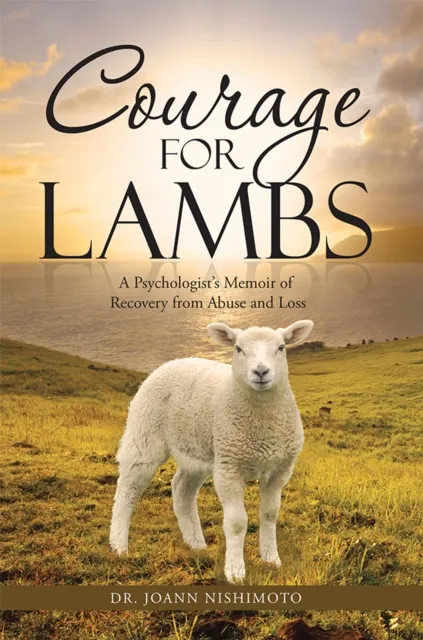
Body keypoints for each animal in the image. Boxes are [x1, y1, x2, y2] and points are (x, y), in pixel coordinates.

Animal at [109, 319, 314, 582]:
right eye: (238, 348)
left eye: (281, 347)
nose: (260, 372)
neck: (262, 426)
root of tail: (175, 361)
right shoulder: (229, 467)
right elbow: (236, 522)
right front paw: (235, 571)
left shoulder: (279, 469)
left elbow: (270, 514)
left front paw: (271, 559)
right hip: (144, 435)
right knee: (128, 490)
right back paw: (119, 546)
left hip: (197, 451)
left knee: (182, 489)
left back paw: (196, 543)